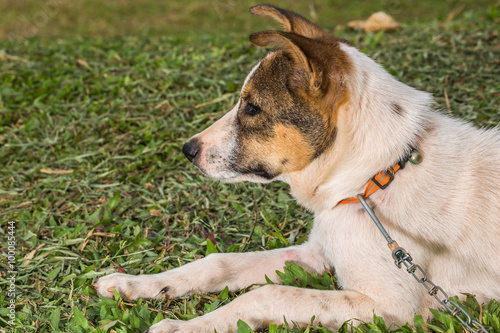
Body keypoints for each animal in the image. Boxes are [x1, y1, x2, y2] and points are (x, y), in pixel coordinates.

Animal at [94, 5, 500, 332]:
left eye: (252, 108)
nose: (188, 150)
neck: (375, 178)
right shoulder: (318, 251)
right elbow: (218, 262)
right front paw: (134, 284)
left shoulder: (394, 306)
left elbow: (267, 294)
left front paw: (182, 328)